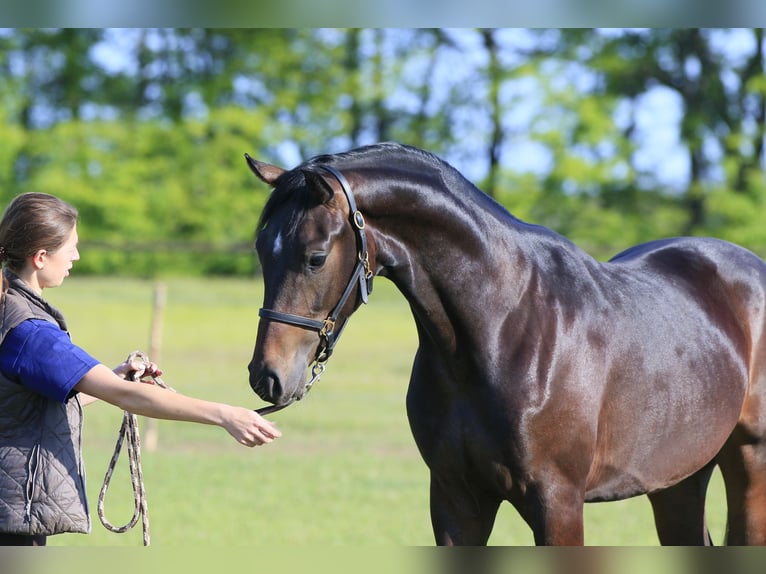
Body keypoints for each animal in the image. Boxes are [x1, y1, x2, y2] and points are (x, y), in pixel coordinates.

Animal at [244, 142, 766, 548]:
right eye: (261, 249)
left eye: (314, 257)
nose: (267, 377)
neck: (502, 331)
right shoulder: (456, 500)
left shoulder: (558, 503)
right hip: (678, 477)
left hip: (749, 464)